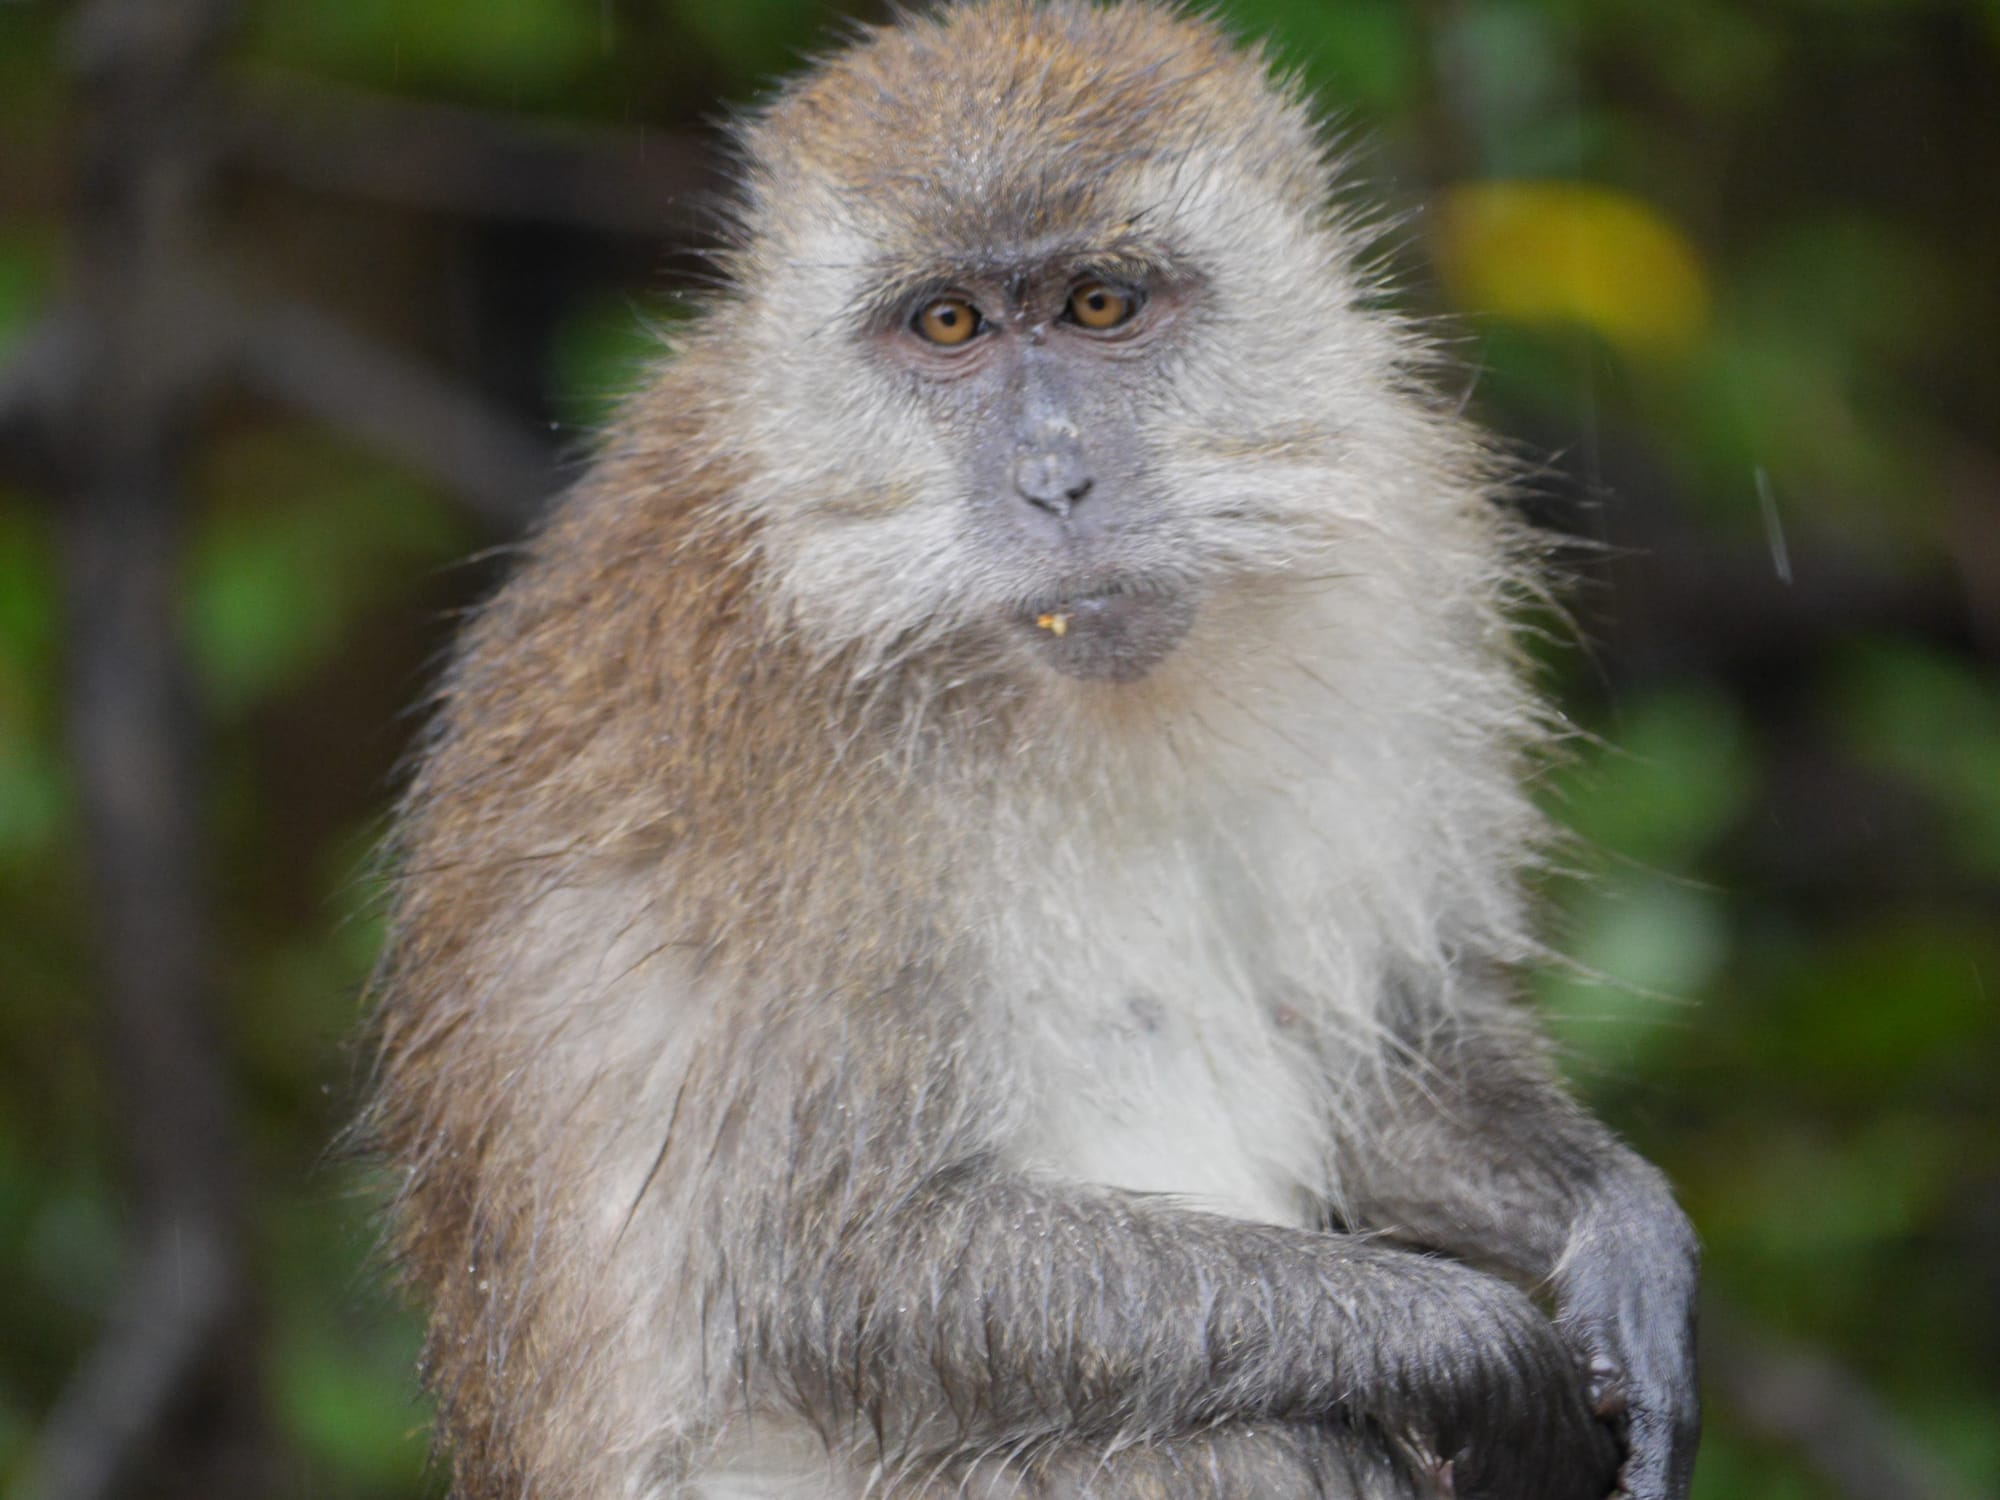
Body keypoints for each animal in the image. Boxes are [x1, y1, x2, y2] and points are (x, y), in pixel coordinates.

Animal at [362, 3, 1700, 1498]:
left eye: (1098, 305)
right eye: (947, 323)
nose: (1056, 481)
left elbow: (1379, 1056)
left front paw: (1621, 1237)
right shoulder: (782, 764)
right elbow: (825, 1262)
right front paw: (1470, 1349)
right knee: (1254, 1443)